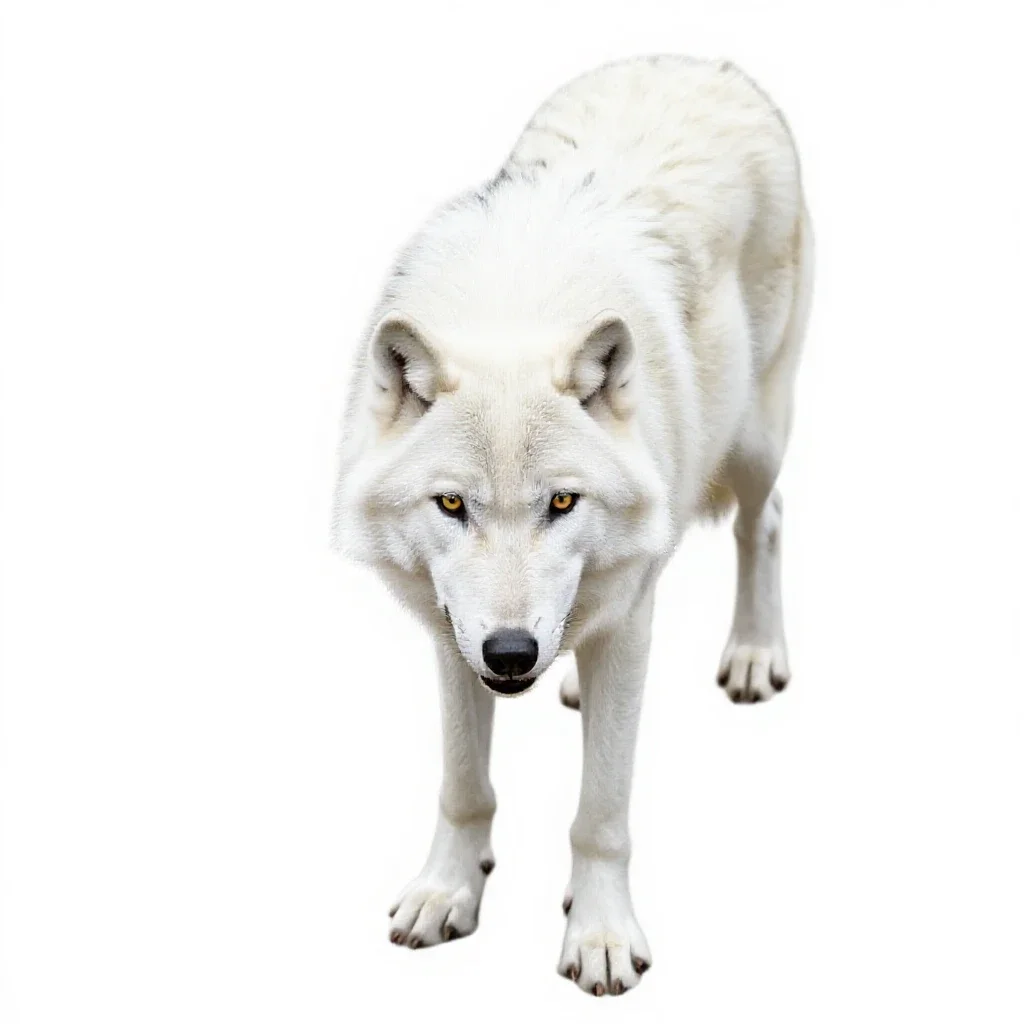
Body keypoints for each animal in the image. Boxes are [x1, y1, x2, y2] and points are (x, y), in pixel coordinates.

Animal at [332, 54, 812, 995]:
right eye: (452, 505)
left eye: (561, 503)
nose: (514, 652)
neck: (513, 316)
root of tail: (698, 60)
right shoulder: (451, 632)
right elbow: (463, 784)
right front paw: (448, 892)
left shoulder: (624, 629)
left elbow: (602, 811)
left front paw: (599, 936)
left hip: (756, 437)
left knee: (765, 520)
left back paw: (752, 653)